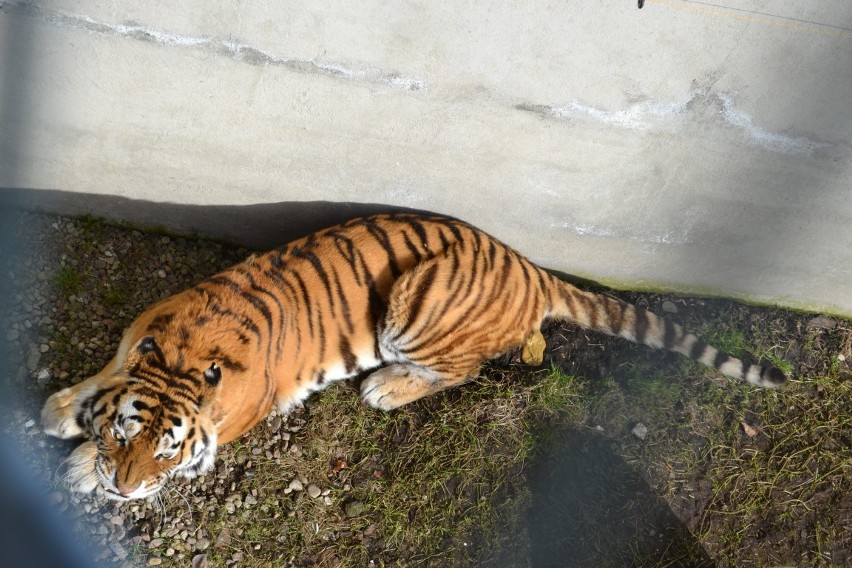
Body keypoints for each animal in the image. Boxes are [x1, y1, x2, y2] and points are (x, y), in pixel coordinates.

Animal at [40, 212, 784, 496]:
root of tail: (531, 268)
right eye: (127, 434)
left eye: (170, 453)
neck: (182, 356)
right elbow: (99, 380)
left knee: (466, 368)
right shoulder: (134, 340)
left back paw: (387, 387)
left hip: (414, 305)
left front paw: (79, 469)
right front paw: (63, 412)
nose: (124, 488)